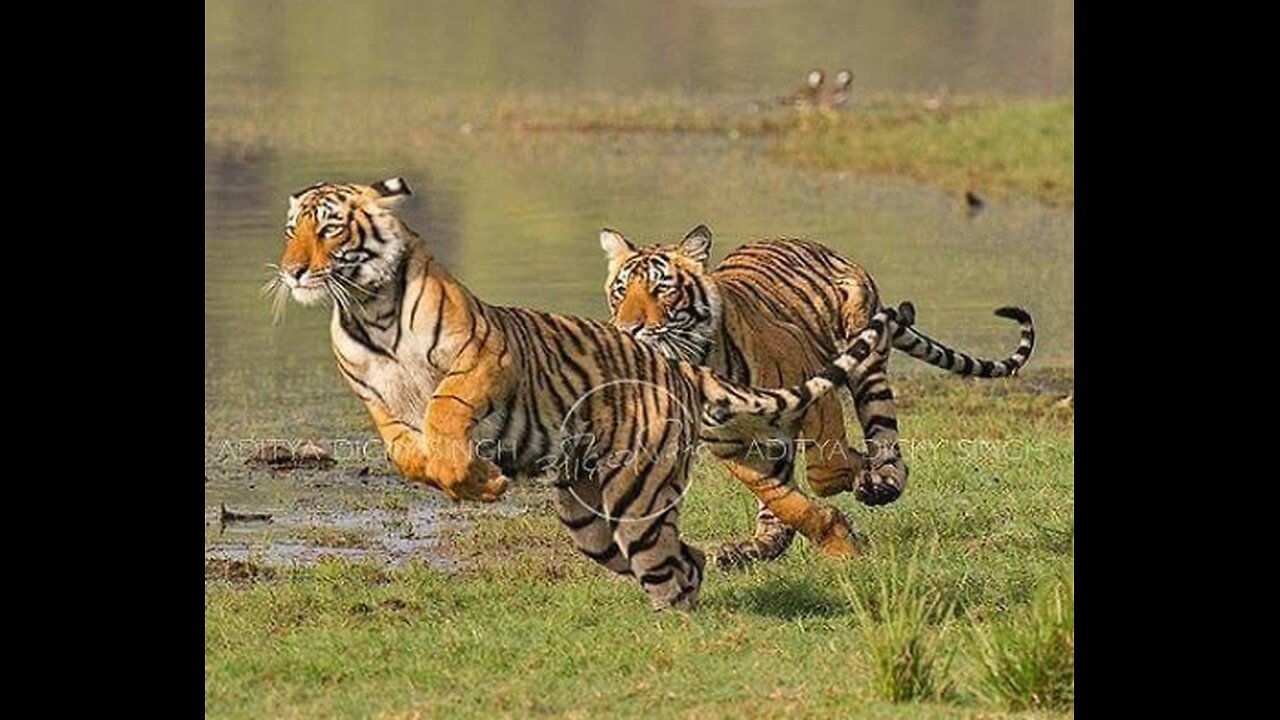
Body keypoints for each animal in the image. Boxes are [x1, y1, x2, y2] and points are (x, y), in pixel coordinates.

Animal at [601, 226, 1035, 567]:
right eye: (620, 291)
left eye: (662, 288)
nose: (627, 328)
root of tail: (822, 248)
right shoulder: (732, 448)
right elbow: (784, 501)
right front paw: (839, 538)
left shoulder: (814, 390)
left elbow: (824, 470)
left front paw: (861, 482)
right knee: (775, 515)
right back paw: (751, 549)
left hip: (865, 362)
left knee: (887, 443)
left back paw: (885, 479)